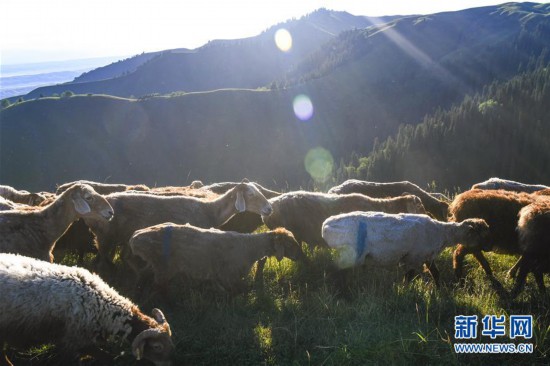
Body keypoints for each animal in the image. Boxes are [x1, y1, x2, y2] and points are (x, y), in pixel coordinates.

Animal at [322, 212, 490, 286]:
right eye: (481, 233)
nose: (489, 247)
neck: (442, 233)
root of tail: (326, 226)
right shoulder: (414, 257)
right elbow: (409, 277)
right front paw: (405, 290)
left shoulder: (426, 256)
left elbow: (436, 273)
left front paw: (440, 289)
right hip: (348, 252)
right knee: (334, 270)